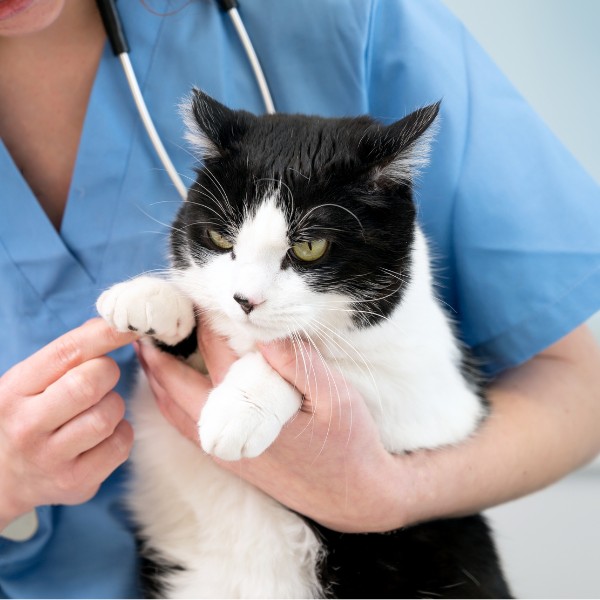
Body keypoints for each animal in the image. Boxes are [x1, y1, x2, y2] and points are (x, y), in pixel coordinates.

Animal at [97, 90, 510, 600]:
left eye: (310, 248)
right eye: (221, 237)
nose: (245, 299)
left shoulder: (437, 401)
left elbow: (327, 366)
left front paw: (242, 406)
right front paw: (154, 299)